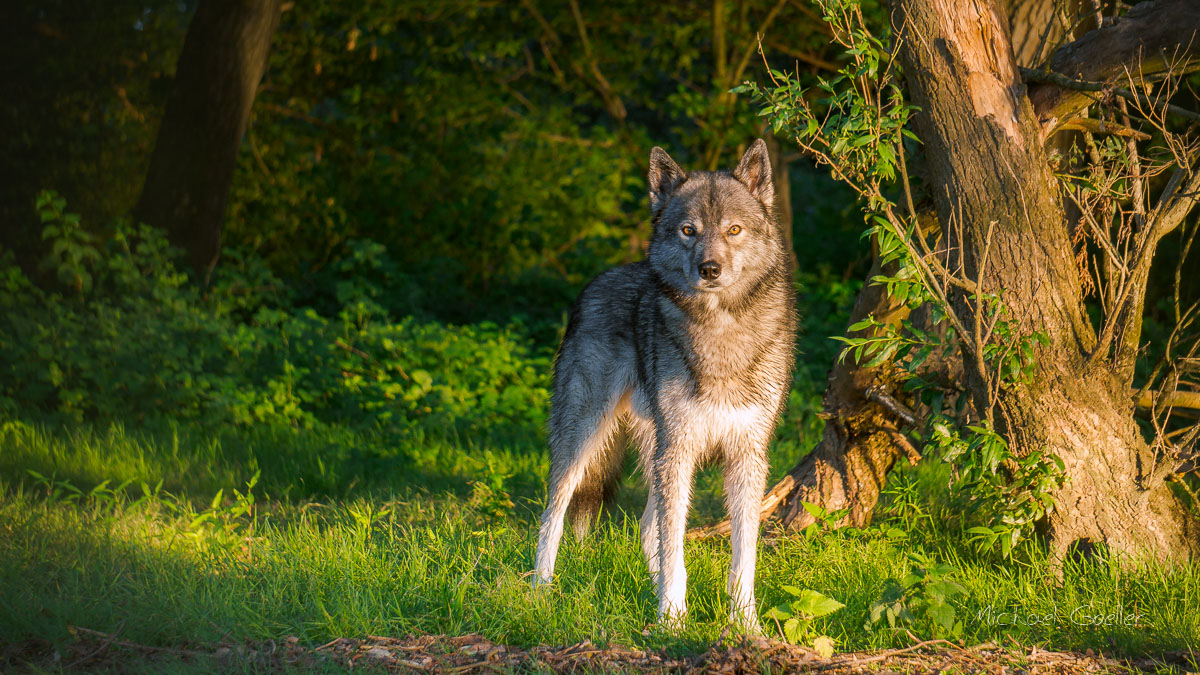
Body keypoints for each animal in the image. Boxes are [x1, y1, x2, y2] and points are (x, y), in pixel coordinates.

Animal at [532, 139, 796, 629]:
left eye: (733, 230)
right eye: (689, 231)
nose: (709, 269)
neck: (720, 331)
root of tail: (599, 279)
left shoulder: (747, 455)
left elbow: (743, 555)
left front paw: (744, 624)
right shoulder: (680, 449)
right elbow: (676, 548)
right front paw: (671, 619)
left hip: (659, 452)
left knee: (646, 527)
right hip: (588, 439)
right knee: (553, 511)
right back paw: (539, 589)